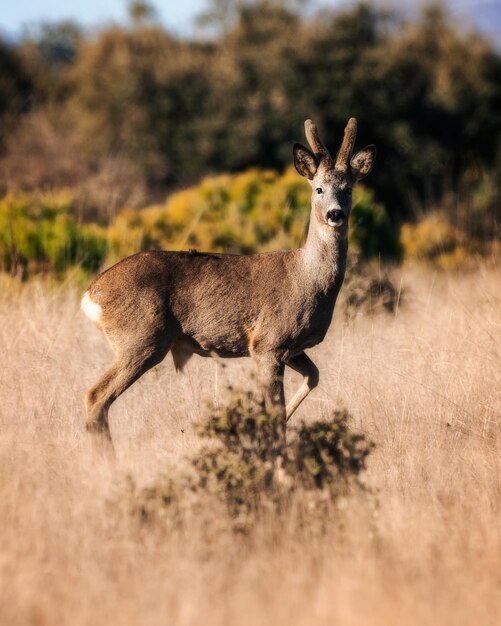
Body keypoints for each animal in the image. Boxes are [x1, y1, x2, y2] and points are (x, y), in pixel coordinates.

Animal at [81, 118, 372, 448]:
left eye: (348, 188)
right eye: (319, 188)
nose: (335, 214)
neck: (308, 278)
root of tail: (91, 294)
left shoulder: (291, 348)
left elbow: (313, 377)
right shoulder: (267, 343)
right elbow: (276, 412)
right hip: (141, 339)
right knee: (96, 395)